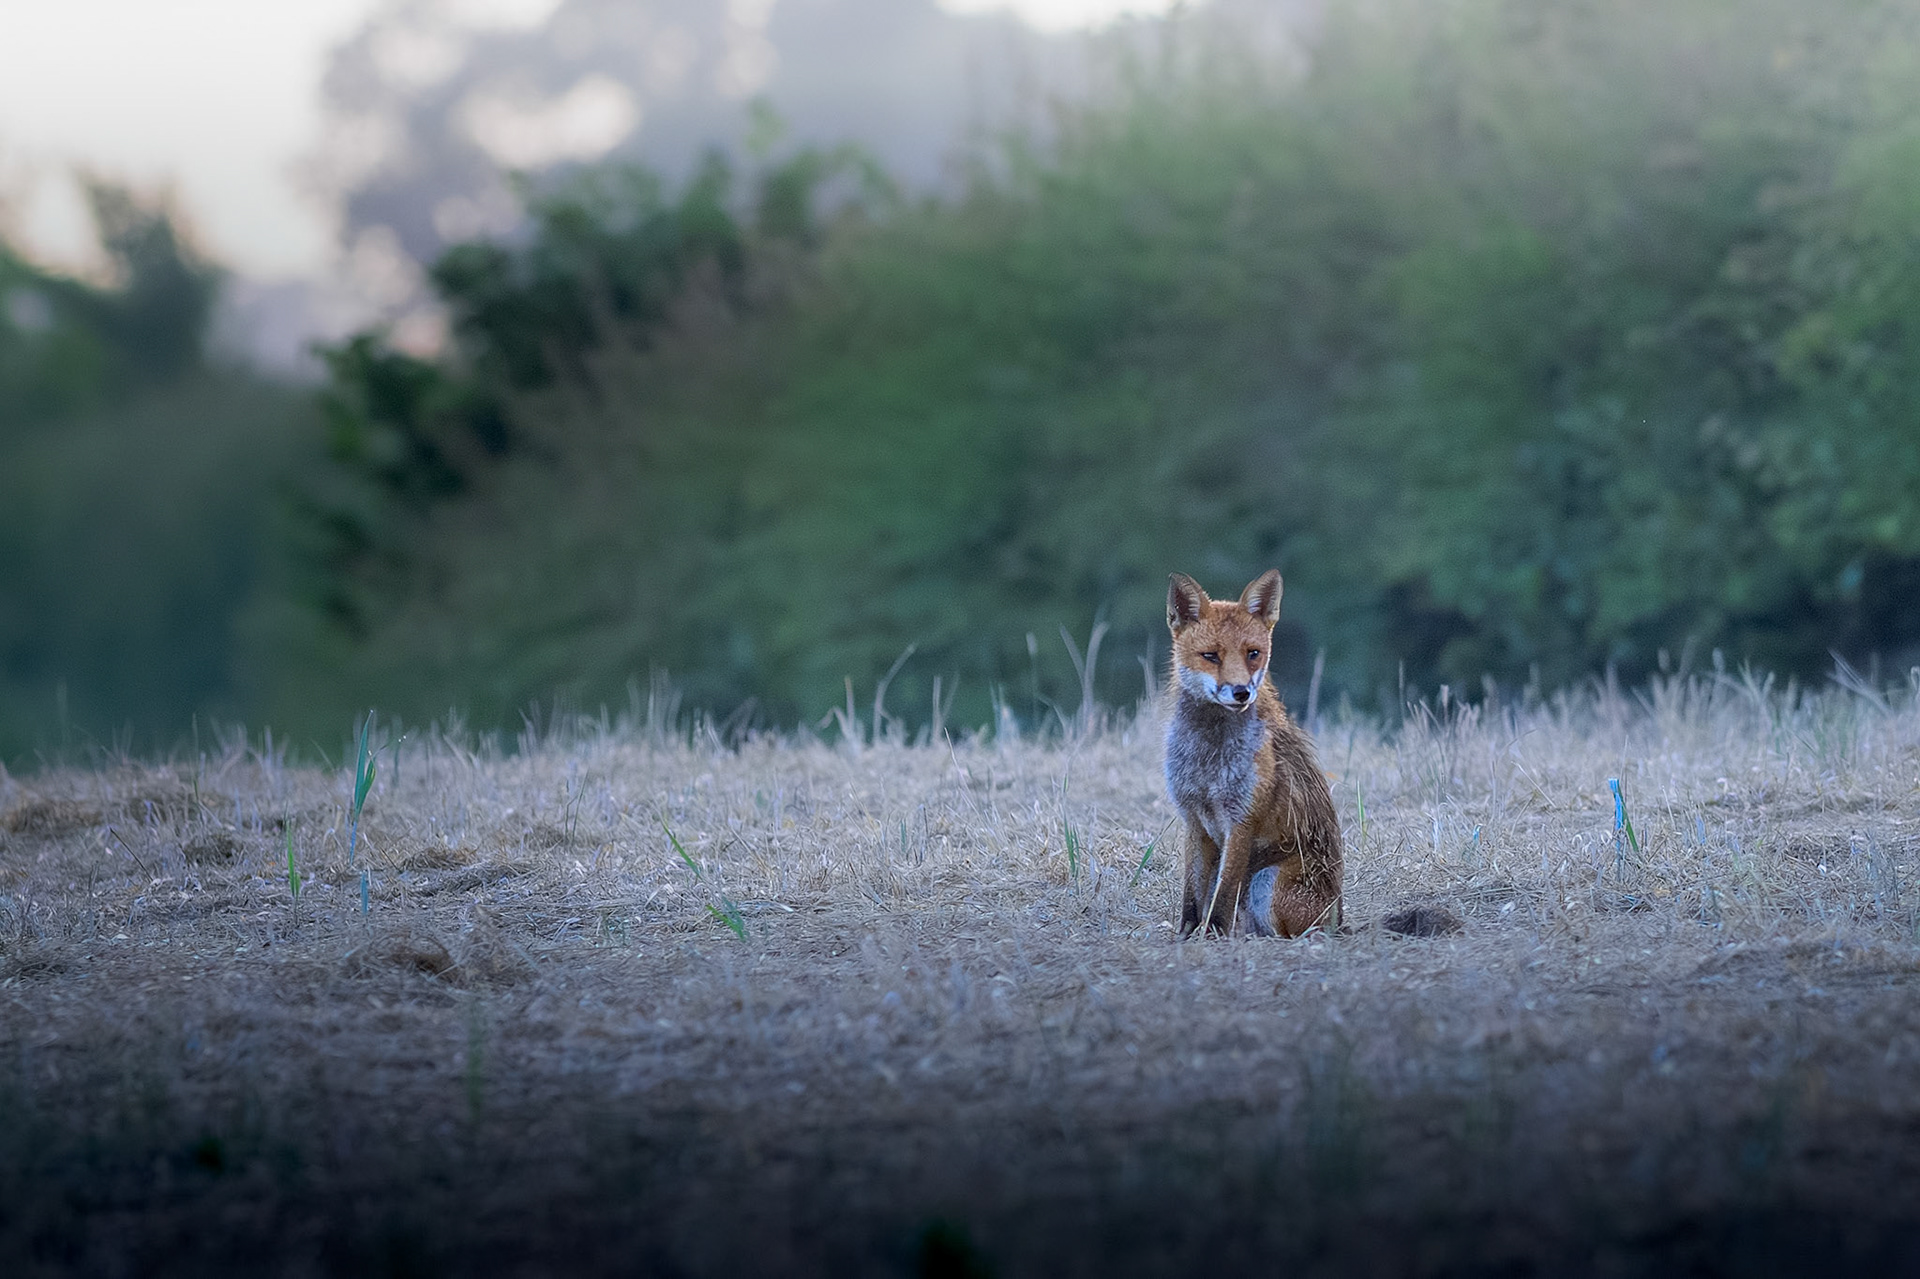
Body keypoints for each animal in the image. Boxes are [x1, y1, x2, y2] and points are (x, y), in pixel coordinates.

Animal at [1163, 569, 1343, 938]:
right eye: (1211, 656)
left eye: (1253, 653)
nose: (1241, 692)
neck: (1208, 758)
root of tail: (1344, 921)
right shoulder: (1193, 818)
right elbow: (1192, 895)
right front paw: (1187, 935)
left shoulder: (1242, 820)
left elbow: (1222, 895)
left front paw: (1213, 936)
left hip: (1266, 882)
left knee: (1294, 934)